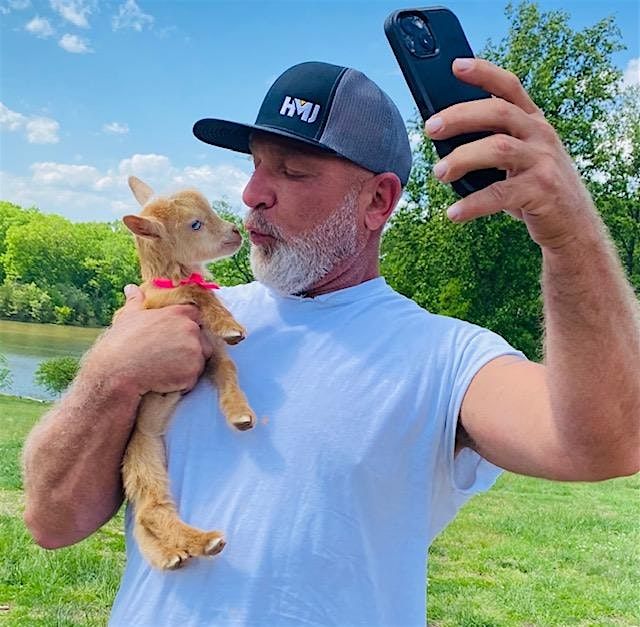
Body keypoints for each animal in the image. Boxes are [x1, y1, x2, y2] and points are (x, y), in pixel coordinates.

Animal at [119, 175, 254, 568]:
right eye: (195, 224)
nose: (237, 231)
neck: (169, 276)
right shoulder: (160, 304)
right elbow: (198, 290)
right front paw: (230, 324)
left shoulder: (208, 356)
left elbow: (229, 369)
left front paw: (239, 413)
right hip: (142, 462)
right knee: (152, 510)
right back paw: (205, 542)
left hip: (151, 462)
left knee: (148, 515)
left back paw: (172, 554)